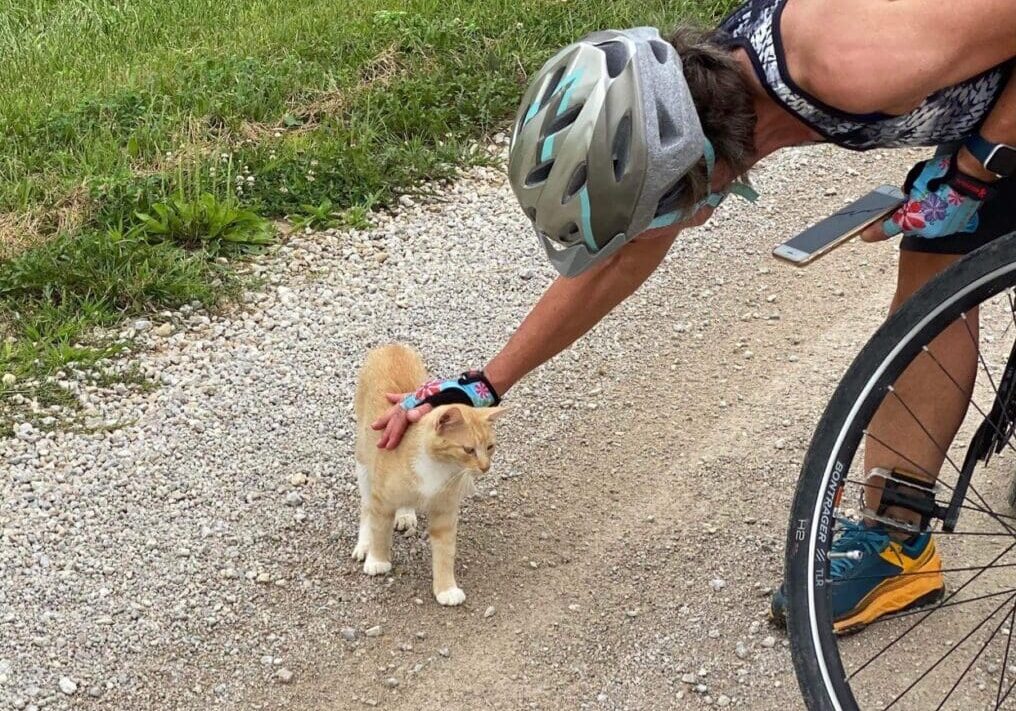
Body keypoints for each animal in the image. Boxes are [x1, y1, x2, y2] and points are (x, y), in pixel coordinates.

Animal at [353, 345, 503, 605]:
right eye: (468, 450)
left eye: (490, 447)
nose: (485, 467)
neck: (438, 467)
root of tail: (392, 345)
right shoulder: (381, 498)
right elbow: (379, 528)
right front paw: (377, 560)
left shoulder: (445, 510)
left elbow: (445, 552)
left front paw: (446, 589)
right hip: (364, 462)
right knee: (366, 507)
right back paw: (365, 543)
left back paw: (404, 513)